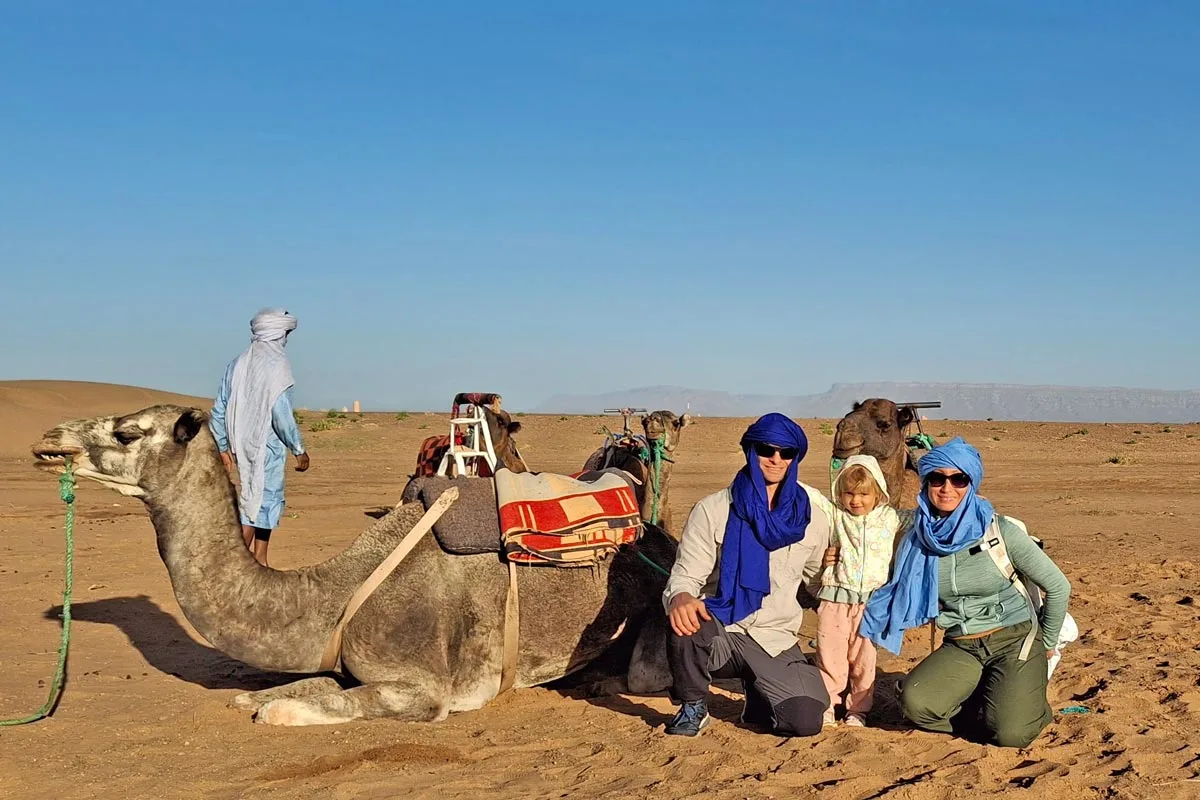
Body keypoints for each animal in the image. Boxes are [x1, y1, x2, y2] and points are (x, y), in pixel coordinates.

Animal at [32, 405, 677, 726]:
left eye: (127, 431)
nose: (48, 440)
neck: (329, 596)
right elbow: (282, 690)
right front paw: (256, 698)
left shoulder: (425, 690)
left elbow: (294, 707)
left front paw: (277, 709)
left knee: (646, 675)